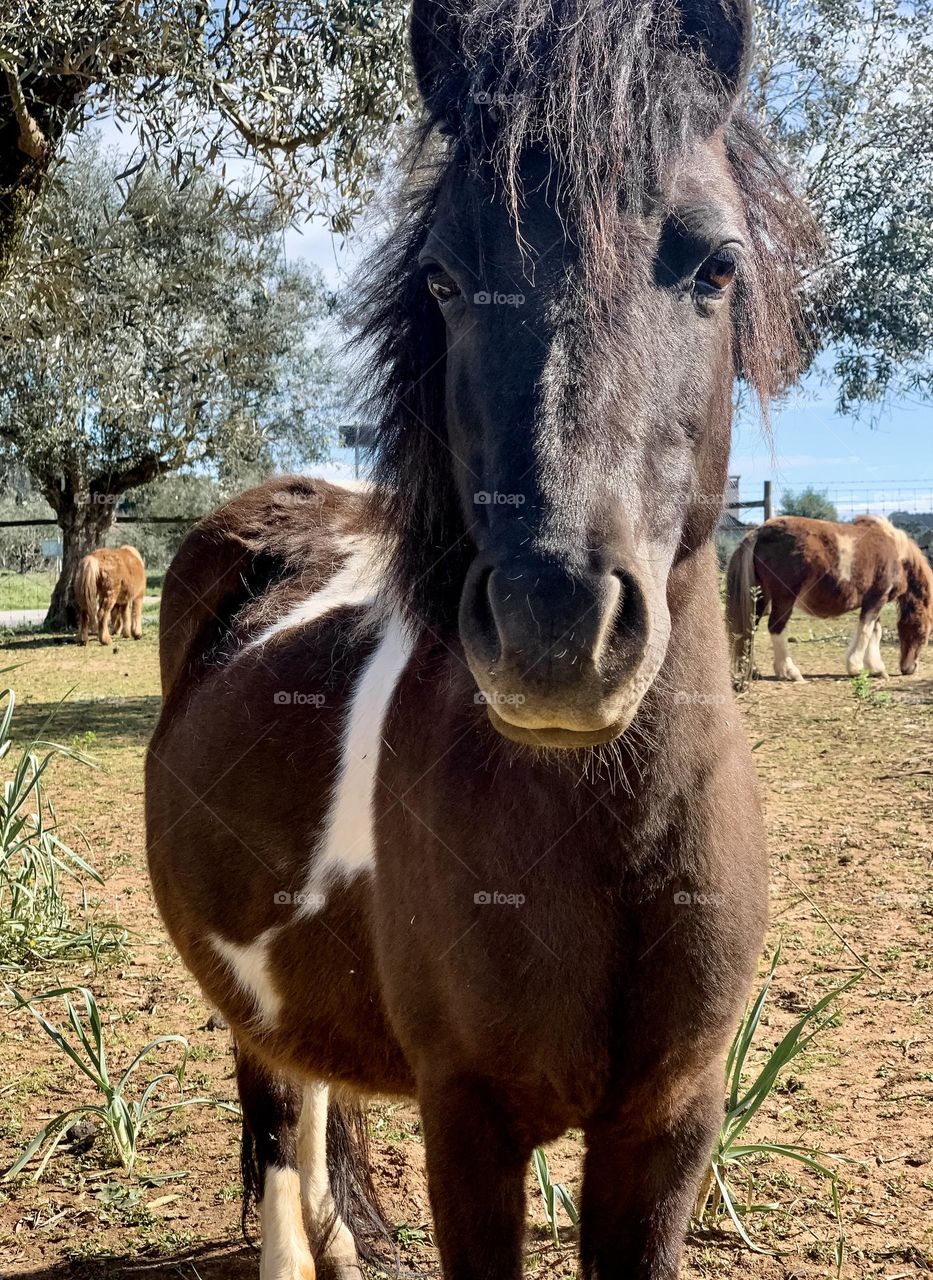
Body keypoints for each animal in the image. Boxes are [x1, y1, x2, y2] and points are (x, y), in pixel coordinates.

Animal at [145, 1, 822, 1276]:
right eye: (445, 275)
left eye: (716, 263)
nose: (556, 625)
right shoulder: (469, 1124)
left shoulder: (670, 1122)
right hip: (243, 982)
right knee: (278, 1109)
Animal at [726, 514, 933, 683]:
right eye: (923, 633)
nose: (909, 668)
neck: (897, 553)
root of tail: (759, 532)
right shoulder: (876, 599)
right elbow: (867, 632)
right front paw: (857, 668)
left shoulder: (874, 602)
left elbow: (875, 631)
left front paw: (875, 668)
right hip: (784, 598)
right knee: (775, 627)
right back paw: (791, 672)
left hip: (760, 596)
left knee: (750, 629)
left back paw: (754, 671)